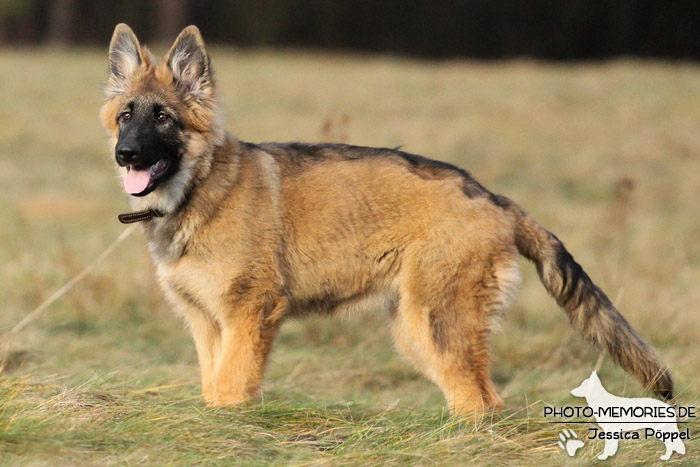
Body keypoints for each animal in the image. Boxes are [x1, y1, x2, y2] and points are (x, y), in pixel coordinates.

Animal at [100, 23, 672, 414]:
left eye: (163, 118)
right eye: (126, 115)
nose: (126, 155)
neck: (199, 189)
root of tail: (496, 200)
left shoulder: (250, 314)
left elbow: (233, 389)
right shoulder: (207, 324)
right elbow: (215, 390)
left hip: (437, 326)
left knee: (483, 403)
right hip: (417, 332)